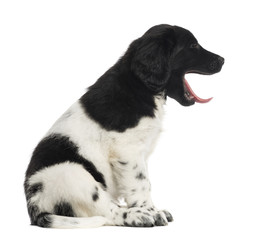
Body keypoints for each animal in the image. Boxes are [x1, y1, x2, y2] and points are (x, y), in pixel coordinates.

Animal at [23, 24, 223, 229]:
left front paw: (153, 209)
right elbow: (142, 183)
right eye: (193, 46)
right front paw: (151, 212)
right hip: (71, 174)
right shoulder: (128, 150)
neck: (139, 86)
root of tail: (34, 208)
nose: (222, 60)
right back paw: (137, 216)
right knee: (107, 211)